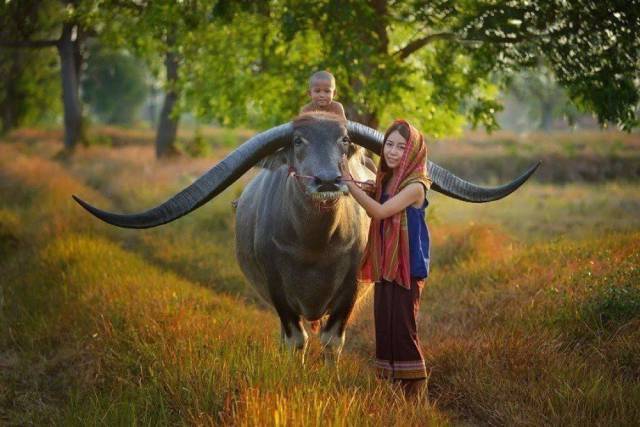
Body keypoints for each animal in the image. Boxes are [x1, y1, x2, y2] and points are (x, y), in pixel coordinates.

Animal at [72, 113, 536, 362]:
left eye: (345, 140)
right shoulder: (277, 291)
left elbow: (331, 341)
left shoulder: (351, 291)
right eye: (298, 141)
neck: (315, 245)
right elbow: (296, 340)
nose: (328, 180)